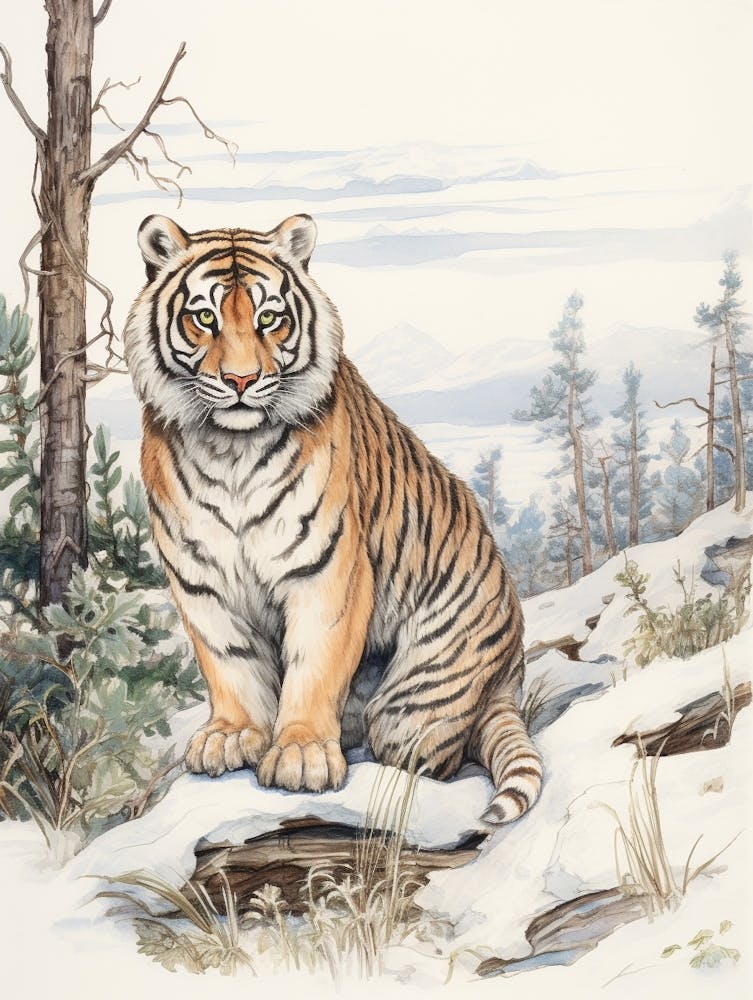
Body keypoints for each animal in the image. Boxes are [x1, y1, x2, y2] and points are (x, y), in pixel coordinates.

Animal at [123, 212, 543, 825]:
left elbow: (314, 664)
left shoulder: (325, 569)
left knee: (431, 753)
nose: (241, 381)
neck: (230, 450)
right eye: (203, 318)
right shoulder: (201, 578)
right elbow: (229, 661)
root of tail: (510, 676)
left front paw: (300, 752)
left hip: (417, 704)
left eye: (269, 318)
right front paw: (232, 735)